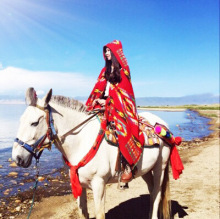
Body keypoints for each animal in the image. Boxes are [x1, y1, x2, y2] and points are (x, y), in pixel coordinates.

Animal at [12, 89, 171, 219]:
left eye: (34, 123)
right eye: (20, 120)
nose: (17, 158)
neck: (81, 141)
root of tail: (162, 124)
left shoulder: (99, 184)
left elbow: (100, 214)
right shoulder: (78, 184)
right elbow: (83, 213)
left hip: (160, 167)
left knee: (156, 194)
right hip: (145, 170)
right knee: (151, 191)